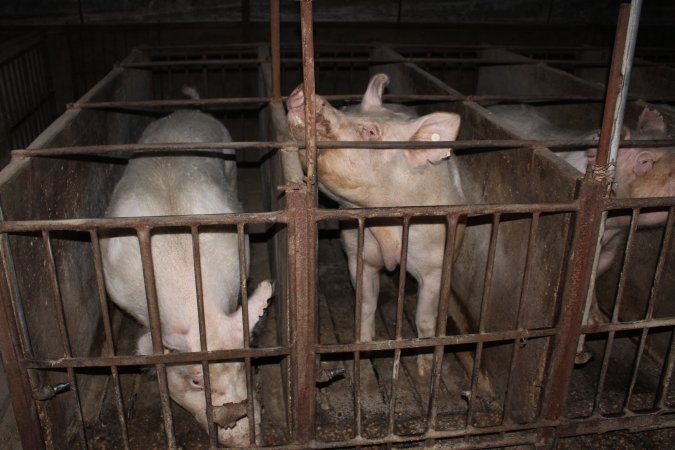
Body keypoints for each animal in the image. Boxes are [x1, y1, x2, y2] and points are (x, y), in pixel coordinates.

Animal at [286, 74, 464, 376]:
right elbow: (366, 304)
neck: (386, 228)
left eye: (370, 131)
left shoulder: (435, 264)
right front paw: (365, 349)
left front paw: (424, 369)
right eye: (347, 110)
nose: (301, 90)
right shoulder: (359, 254)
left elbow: (425, 318)